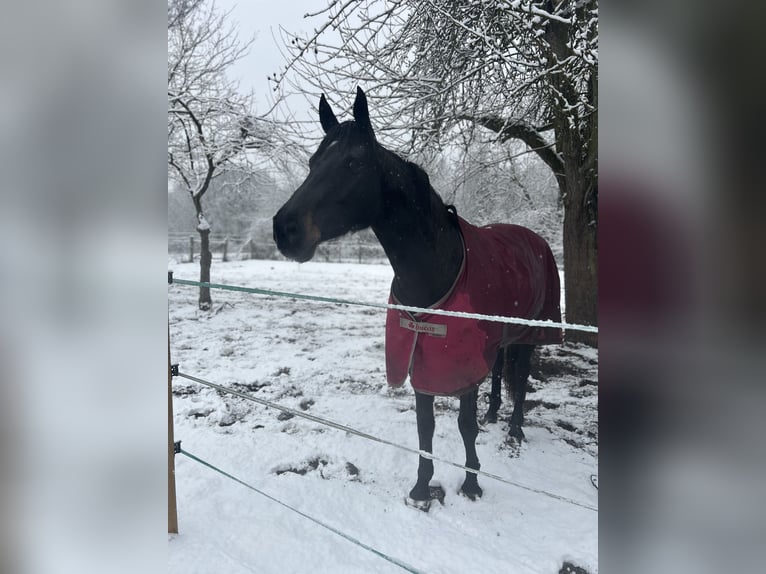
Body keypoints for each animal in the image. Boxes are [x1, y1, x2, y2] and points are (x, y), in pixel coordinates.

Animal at [273, 87, 562, 510]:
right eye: (313, 161)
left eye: (354, 162)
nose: (285, 229)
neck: (437, 267)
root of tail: (535, 237)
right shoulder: (419, 355)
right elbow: (425, 425)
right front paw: (421, 487)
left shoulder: (459, 364)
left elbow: (464, 424)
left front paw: (471, 484)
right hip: (500, 337)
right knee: (498, 373)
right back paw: (495, 416)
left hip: (529, 335)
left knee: (521, 379)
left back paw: (514, 432)